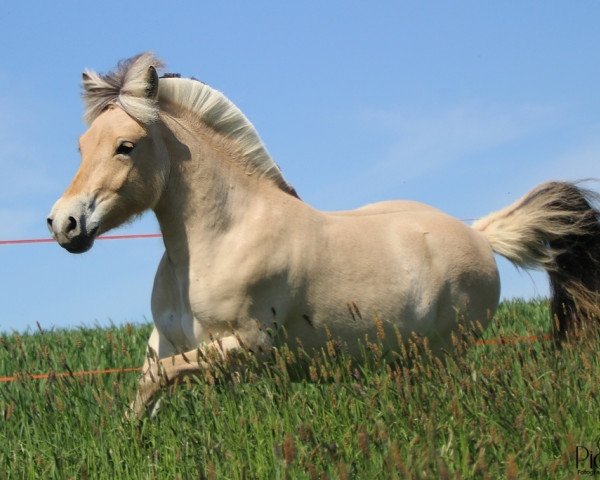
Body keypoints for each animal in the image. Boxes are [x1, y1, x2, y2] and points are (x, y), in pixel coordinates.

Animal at [47, 54, 600, 416]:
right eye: (81, 145)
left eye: (125, 146)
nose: (63, 223)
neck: (220, 238)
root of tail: (480, 236)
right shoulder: (167, 341)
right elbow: (147, 386)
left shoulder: (246, 345)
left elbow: (163, 381)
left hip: (445, 352)